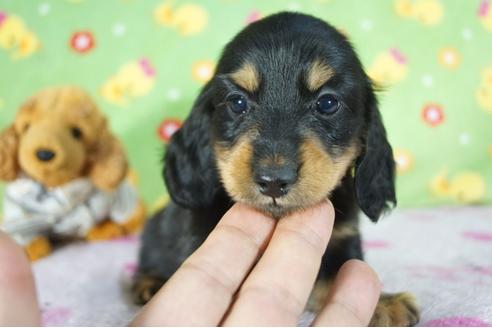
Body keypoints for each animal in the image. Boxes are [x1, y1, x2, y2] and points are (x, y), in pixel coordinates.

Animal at [134, 12, 418, 326]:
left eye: (328, 103)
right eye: (237, 102)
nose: (273, 181)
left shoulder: (342, 239)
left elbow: (343, 274)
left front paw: (383, 304)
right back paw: (148, 283)